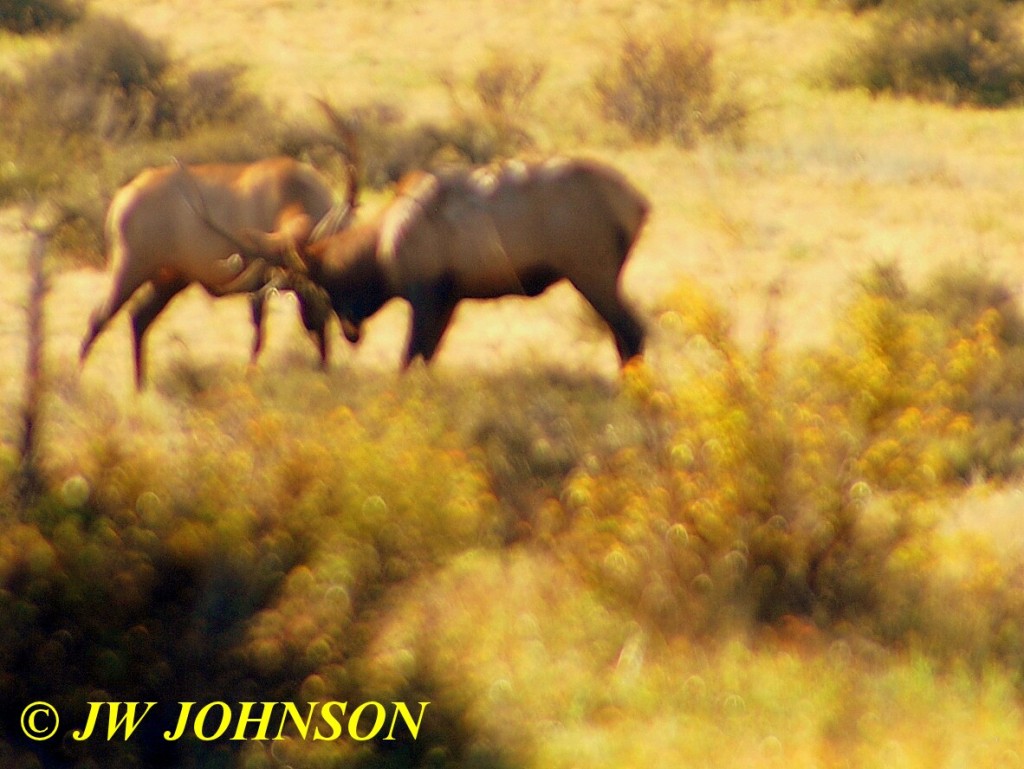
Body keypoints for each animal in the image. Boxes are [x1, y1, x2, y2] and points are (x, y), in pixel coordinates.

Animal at [292, 156, 647, 370]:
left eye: (320, 282)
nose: (312, 325)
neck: (383, 244)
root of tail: (638, 204)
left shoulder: (425, 294)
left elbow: (409, 356)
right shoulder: (449, 299)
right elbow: (426, 355)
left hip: (593, 274)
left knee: (632, 332)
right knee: (624, 335)